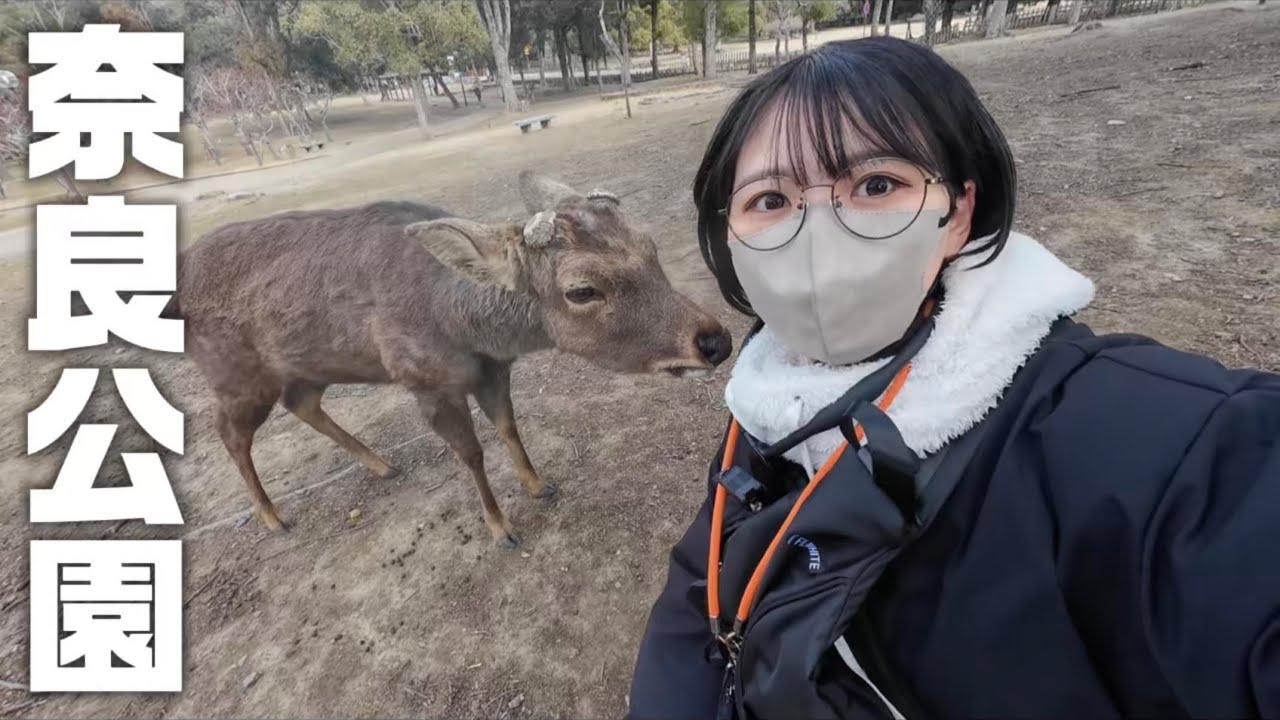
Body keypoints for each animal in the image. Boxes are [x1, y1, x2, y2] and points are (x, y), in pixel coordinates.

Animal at [171, 171, 733, 548]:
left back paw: (381, 464)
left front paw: (538, 485)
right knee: (230, 434)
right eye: (581, 290)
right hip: (235, 375)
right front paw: (501, 528)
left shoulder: (493, 370)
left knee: (301, 401)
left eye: (649, 245)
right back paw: (273, 517)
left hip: (305, 366)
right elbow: (471, 453)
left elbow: (508, 427)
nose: (714, 341)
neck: (464, 327)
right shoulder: (424, 381)